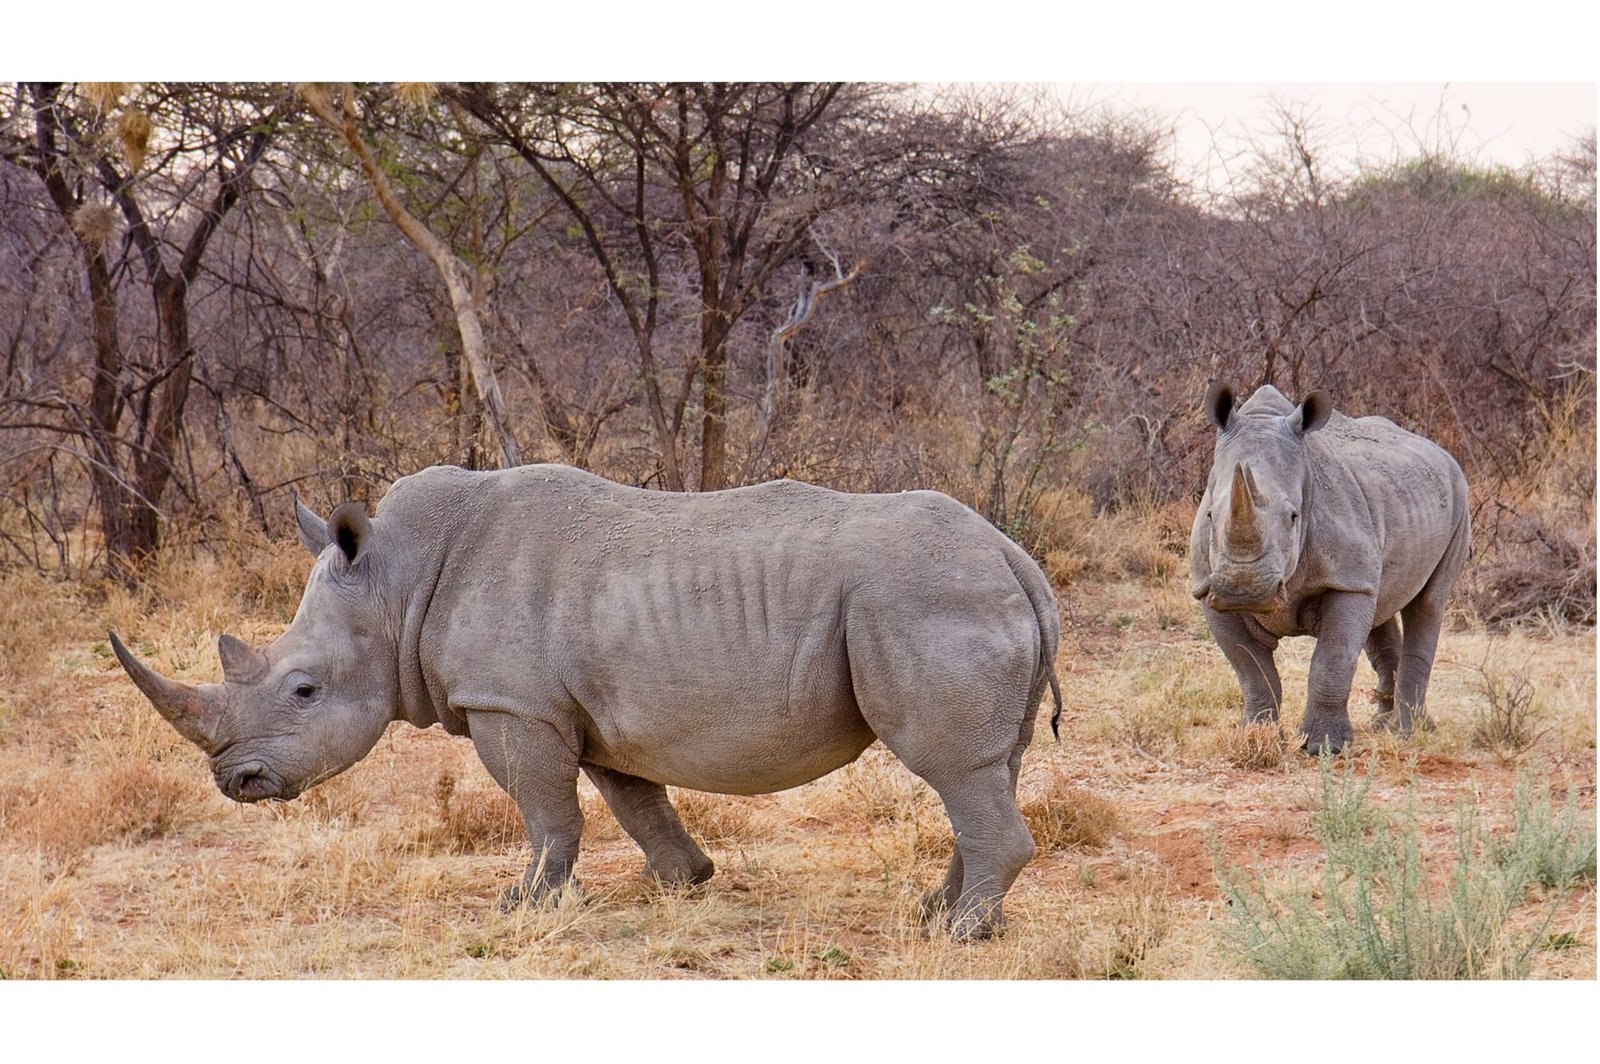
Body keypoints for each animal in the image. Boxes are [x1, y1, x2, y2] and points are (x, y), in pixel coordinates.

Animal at [111, 464, 1061, 939]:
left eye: (304, 691)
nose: (237, 782)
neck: (394, 582)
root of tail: (1016, 558)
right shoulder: (590, 712)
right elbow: (634, 799)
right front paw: (680, 883)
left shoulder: (512, 704)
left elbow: (545, 811)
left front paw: (520, 907)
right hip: (959, 596)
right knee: (984, 769)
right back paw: (938, 913)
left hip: (925, 599)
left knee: (954, 767)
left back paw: (958, 935)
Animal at [1189, 384, 1470, 753]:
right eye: (1210, 516)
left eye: (1294, 516)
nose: (1244, 590)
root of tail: (1442, 452)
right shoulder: (1206, 587)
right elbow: (1251, 669)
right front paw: (1258, 736)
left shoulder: (1346, 580)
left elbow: (1332, 660)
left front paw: (1325, 747)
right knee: (1380, 604)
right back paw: (1383, 724)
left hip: (1459, 498)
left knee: (1428, 604)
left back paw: (1409, 732)